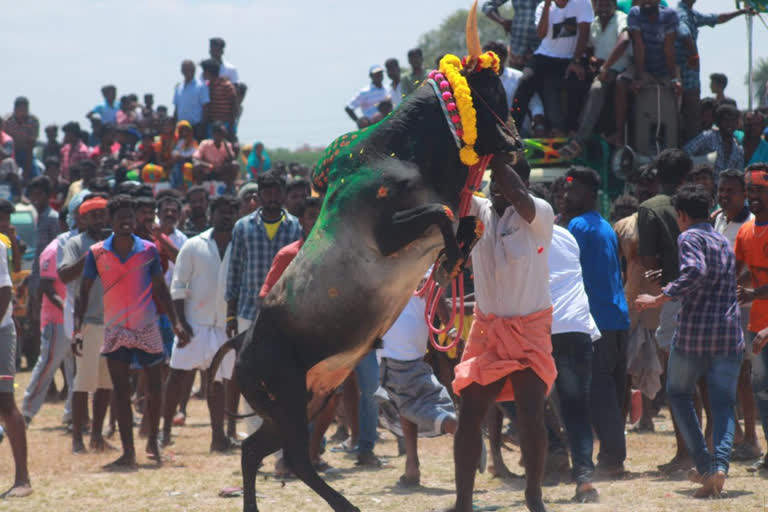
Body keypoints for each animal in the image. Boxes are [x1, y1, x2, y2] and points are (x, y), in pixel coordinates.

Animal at [216, 8, 524, 512]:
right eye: (491, 90)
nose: (516, 141)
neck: (400, 154)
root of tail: (241, 348)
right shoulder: (389, 234)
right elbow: (443, 216)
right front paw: (452, 257)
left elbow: (465, 225)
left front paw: (453, 262)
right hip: (289, 402)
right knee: (293, 458)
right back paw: (345, 504)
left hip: (310, 399)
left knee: (254, 451)